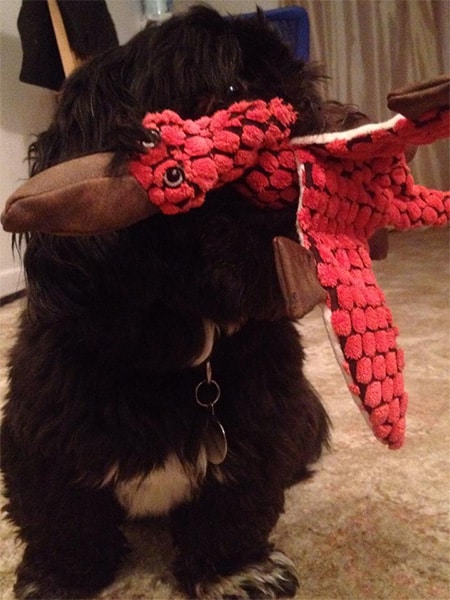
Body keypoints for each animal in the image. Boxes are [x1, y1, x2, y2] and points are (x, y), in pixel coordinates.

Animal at [0, 5, 346, 600]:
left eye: (302, 86)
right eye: (231, 89)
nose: (323, 123)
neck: (179, 338)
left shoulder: (258, 426)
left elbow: (231, 507)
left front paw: (233, 571)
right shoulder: (40, 436)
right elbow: (63, 518)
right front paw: (58, 577)